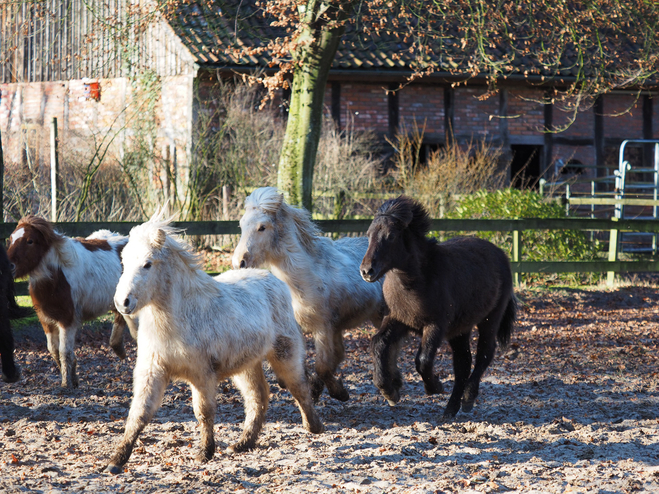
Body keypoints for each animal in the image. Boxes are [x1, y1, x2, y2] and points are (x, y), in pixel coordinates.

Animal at [7, 216, 136, 390]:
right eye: (11, 239)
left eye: (30, 241)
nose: (8, 266)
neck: (56, 277)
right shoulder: (46, 320)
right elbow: (53, 350)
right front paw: (73, 378)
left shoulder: (67, 320)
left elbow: (64, 352)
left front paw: (66, 383)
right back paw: (119, 348)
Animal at [107, 213, 324, 474]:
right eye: (124, 262)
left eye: (148, 264)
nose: (123, 302)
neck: (178, 319)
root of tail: (272, 279)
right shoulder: (152, 371)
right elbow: (139, 413)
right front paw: (117, 460)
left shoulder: (202, 375)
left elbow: (204, 412)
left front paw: (205, 453)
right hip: (246, 366)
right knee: (258, 397)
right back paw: (243, 443)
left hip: (284, 354)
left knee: (298, 386)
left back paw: (314, 426)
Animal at [233, 188, 386, 402]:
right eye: (241, 225)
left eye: (262, 227)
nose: (239, 262)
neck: (305, 279)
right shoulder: (300, 328)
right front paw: (313, 389)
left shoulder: (323, 328)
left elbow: (322, 366)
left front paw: (338, 392)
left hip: (381, 316)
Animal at [360, 195, 516, 418]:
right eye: (369, 234)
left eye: (391, 236)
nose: (366, 271)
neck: (416, 282)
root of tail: (500, 254)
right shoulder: (399, 319)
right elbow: (378, 344)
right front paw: (389, 391)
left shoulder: (435, 326)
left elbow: (423, 360)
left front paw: (434, 387)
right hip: (460, 330)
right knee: (463, 364)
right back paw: (450, 409)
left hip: (490, 319)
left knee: (484, 354)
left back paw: (467, 399)